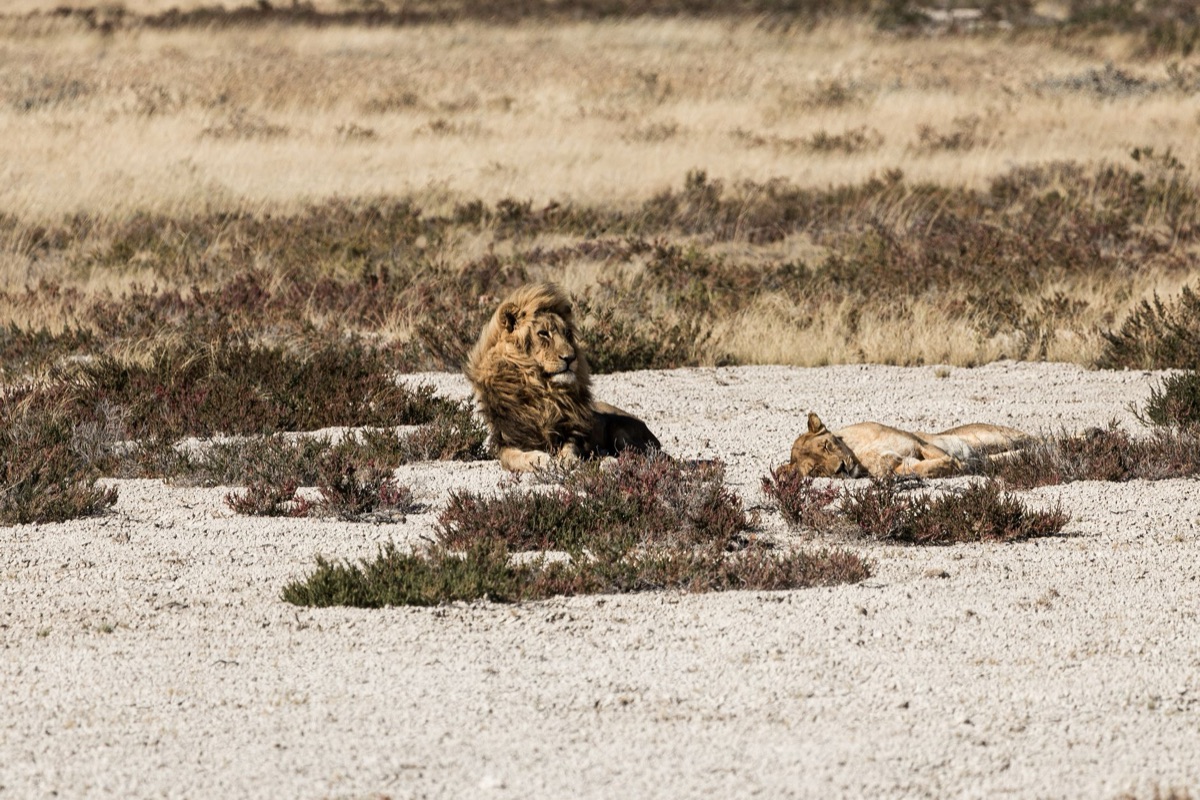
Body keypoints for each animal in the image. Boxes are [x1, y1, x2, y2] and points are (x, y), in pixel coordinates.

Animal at [464, 283, 660, 472]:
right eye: (543, 333)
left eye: (567, 334)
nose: (570, 358)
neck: (543, 391)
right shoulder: (507, 440)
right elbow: (515, 457)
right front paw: (542, 459)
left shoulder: (572, 433)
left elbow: (570, 448)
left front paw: (569, 461)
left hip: (621, 432)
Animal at [781, 412, 1034, 479]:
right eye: (815, 469)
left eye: (826, 445)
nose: (841, 468)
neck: (859, 454)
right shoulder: (899, 465)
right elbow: (922, 469)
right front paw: (953, 465)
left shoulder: (918, 442)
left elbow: (934, 453)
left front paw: (956, 463)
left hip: (998, 437)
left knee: (1037, 440)